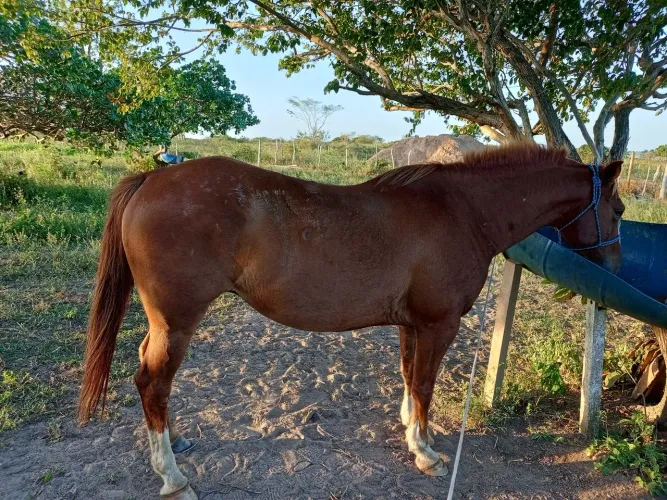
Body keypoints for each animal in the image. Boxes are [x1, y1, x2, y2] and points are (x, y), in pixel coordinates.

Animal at [78, 144, 624, 499]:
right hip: (178, 321)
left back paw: (174, 441)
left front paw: (413, 429)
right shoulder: (438, 325)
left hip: (162, 324)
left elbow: (409, 377)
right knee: (153, 383)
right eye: (618, 209)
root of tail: (153, 178)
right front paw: (424, 450)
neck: (465, 211)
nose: (616, 269)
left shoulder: (412, 325)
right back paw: (172, 477)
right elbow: (424, 383)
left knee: (152, 379)